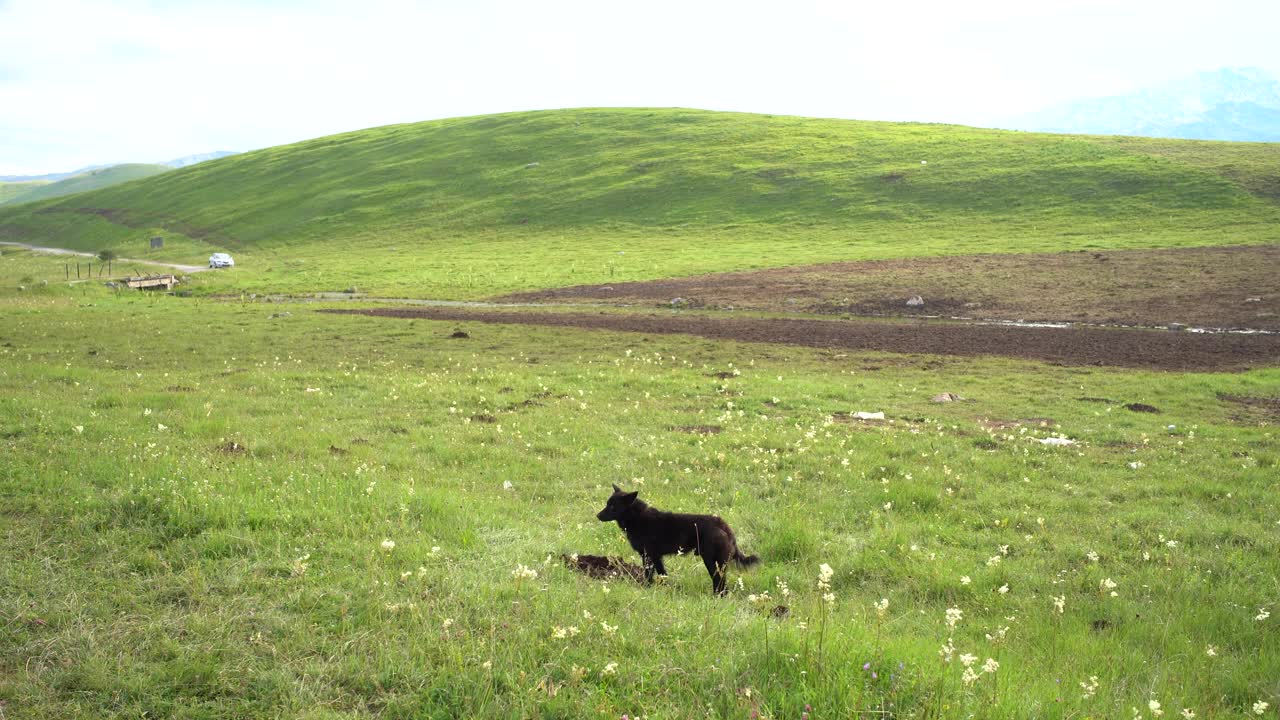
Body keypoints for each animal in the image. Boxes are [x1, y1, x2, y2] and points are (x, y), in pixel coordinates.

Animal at [593, 481, 752, 594]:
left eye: (613, 507)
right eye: (607, 504)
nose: (598, 516)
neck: (636, 517)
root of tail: (723, 525)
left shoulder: (648, 556)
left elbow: (649, 576)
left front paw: (647, 589)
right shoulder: (656, 557)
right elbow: (663, 575)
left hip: (711, 560)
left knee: (719, 581)